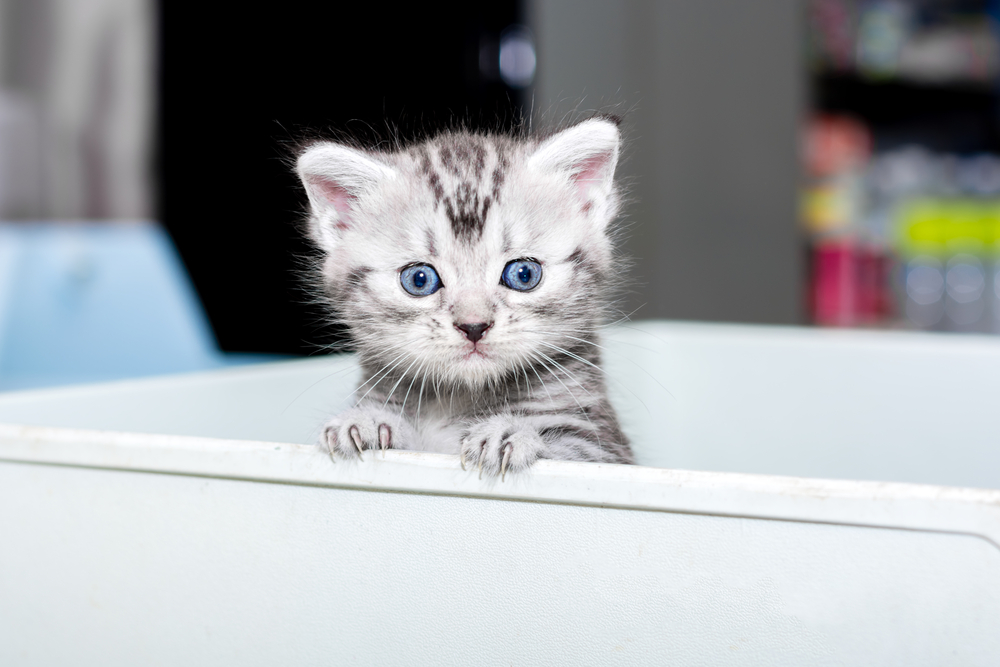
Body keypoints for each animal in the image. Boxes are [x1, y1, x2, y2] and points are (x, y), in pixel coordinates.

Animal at [292, 116, 632, 480]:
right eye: (419, 279)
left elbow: (572, 450)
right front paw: (365, 420)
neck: (457, 398)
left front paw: (510, 432)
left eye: (524, 274)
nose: (473, 326)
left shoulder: (607, 448)